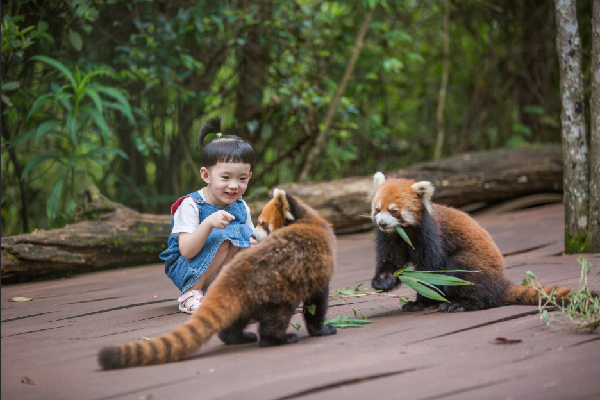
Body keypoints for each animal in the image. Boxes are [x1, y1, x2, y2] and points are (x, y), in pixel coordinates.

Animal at [96, 189, 336, 370]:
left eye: (262, 224)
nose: (252, 236)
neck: (308, 220)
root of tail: (231, 277)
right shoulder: (318, 268)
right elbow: (317, 305)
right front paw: (321, 330)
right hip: (274, 290)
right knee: (276, 316)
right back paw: (278, 339)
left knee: (234, 320)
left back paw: (238, 337)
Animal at [370, 173, 572, 312]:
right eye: (377, 209)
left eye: (394, 211)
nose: (382, 223)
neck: (404, 232)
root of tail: (501, 282)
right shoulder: (391, 237)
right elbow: (391, 261)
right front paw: (383, 281)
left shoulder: (429, 234)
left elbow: (431, 270)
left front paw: (423, 301)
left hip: (473, 266)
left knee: (462, 271)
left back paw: (462, 303)